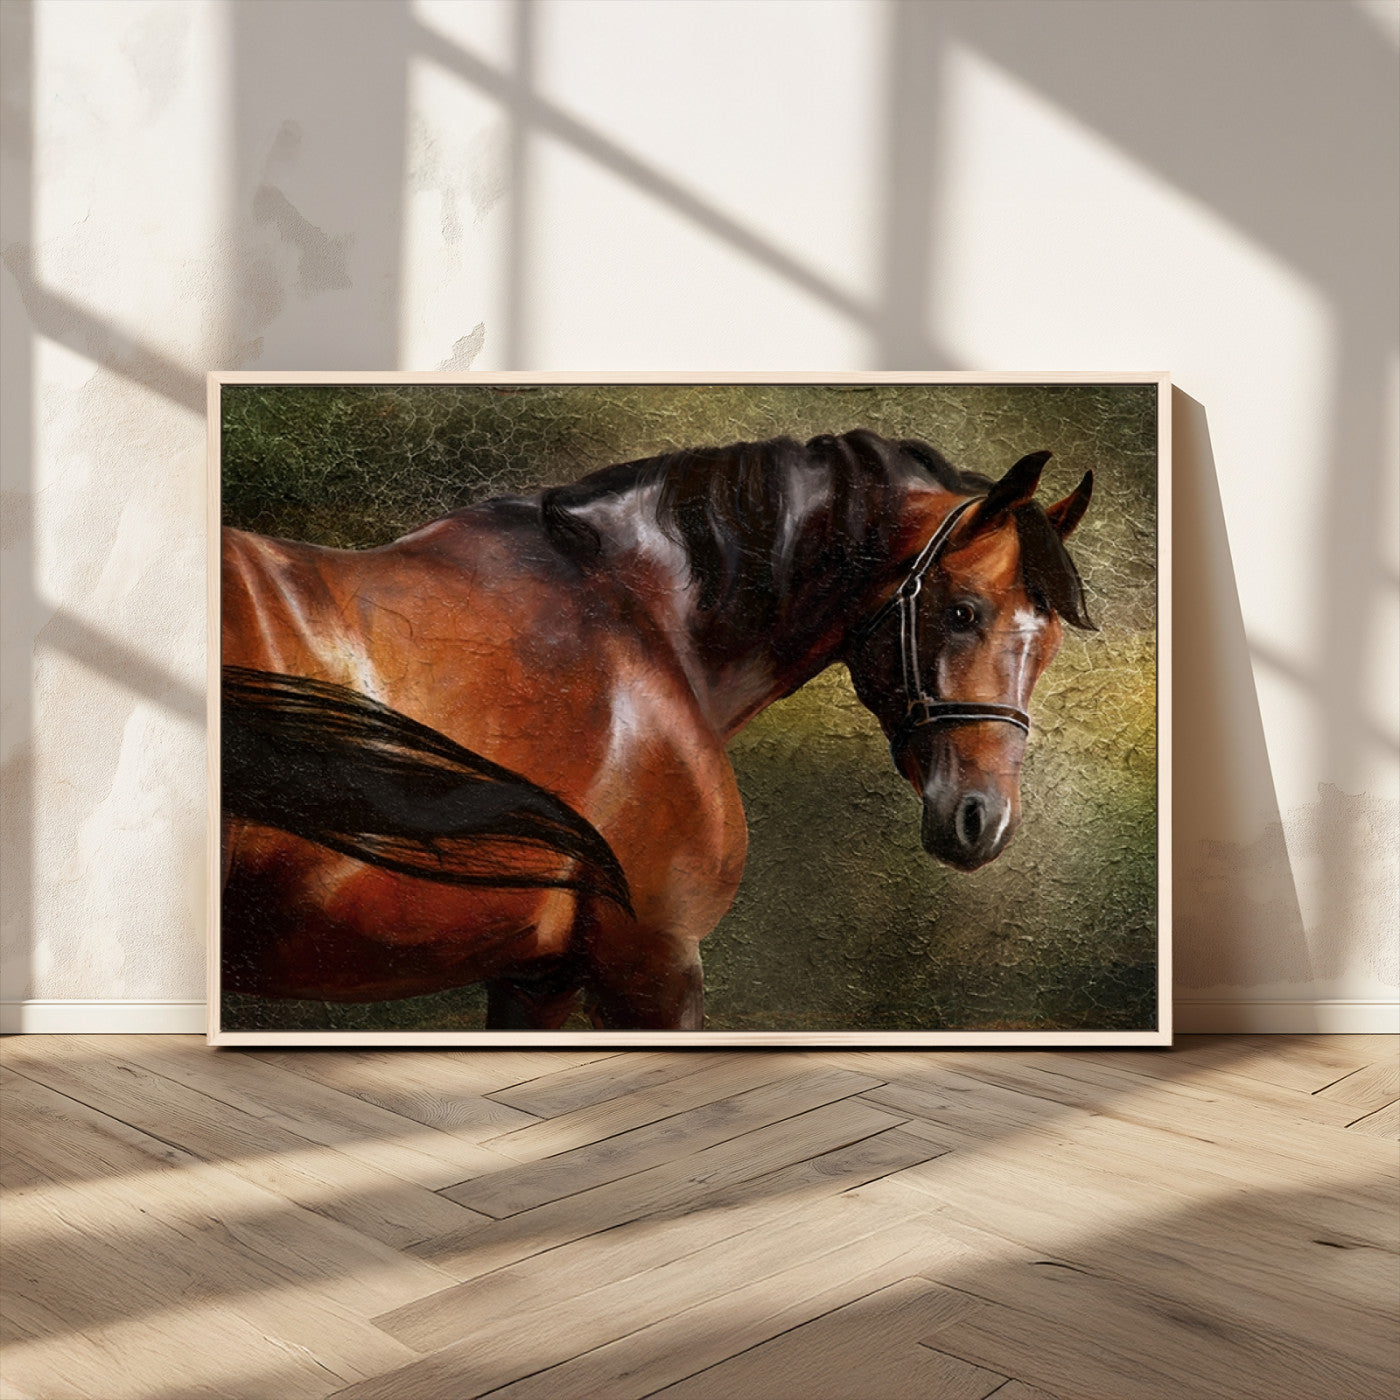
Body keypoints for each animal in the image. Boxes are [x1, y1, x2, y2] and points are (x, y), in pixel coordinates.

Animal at [220, 428, 1094, 1030]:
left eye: (1048, 642)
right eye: (963, 612)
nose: (983, 820)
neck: (637, 617)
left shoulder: (537, 974)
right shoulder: (651, 962)